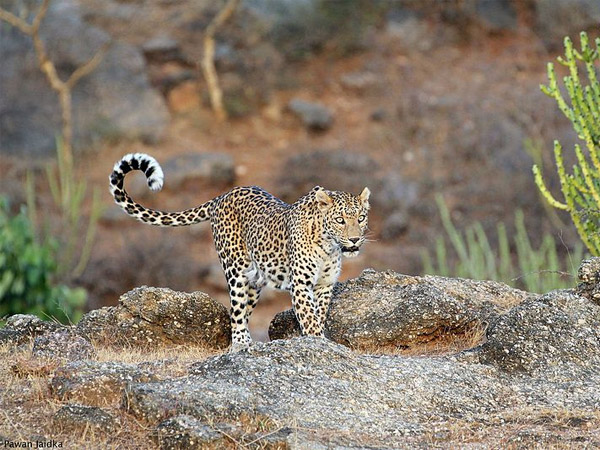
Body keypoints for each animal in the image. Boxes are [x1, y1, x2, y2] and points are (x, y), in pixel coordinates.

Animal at [109, 153, 370, 350]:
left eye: (361, 218)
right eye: (339, 220)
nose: (355, 239)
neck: (329, 247)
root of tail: (222, 195)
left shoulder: (325, 285)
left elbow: (319, 313)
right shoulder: (301, 284)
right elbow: (309, 317)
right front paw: (318, 341)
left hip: (255, 282)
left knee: (243, 310)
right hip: (235, 269)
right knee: (235, 312)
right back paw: (241, 343)